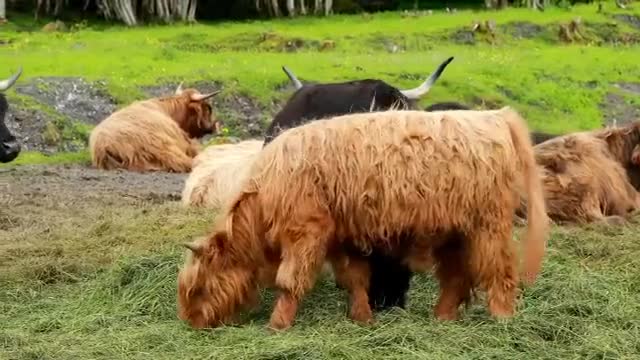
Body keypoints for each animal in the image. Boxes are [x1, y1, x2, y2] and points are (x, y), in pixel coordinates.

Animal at [176, 106, 552, 330]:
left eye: (199, 287)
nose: (191, 323)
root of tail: (493, 115)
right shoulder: (344, 239)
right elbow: (355, 280)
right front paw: (363, 319)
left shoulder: (306, 233)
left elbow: (289, 282)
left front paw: (277, 325)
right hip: (455, 232)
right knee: (456, 277)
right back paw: (441, 318)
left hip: (488, 226)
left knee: (500, 272)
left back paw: (503, 320)